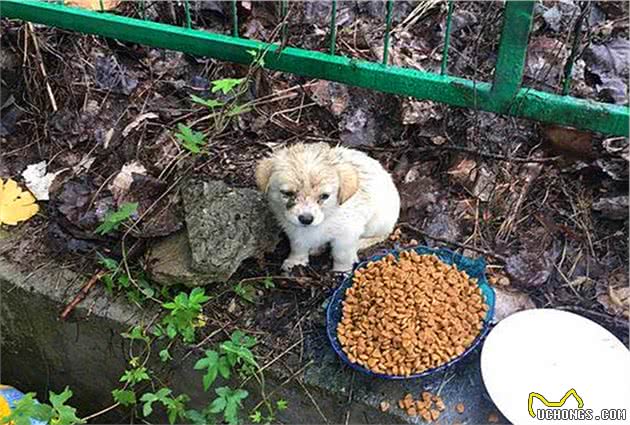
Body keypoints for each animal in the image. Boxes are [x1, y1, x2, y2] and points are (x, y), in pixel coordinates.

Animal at [256, 142, 400, 272]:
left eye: (324, 196)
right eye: (287, 193)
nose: (306, 219)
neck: (326, 217)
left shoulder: (346, 234)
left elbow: (341, 255)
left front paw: (341, 271)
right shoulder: (294, 230)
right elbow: (298, 247)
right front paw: (295, 262)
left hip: (378, 222)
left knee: (381, 235)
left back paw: (360, 244)